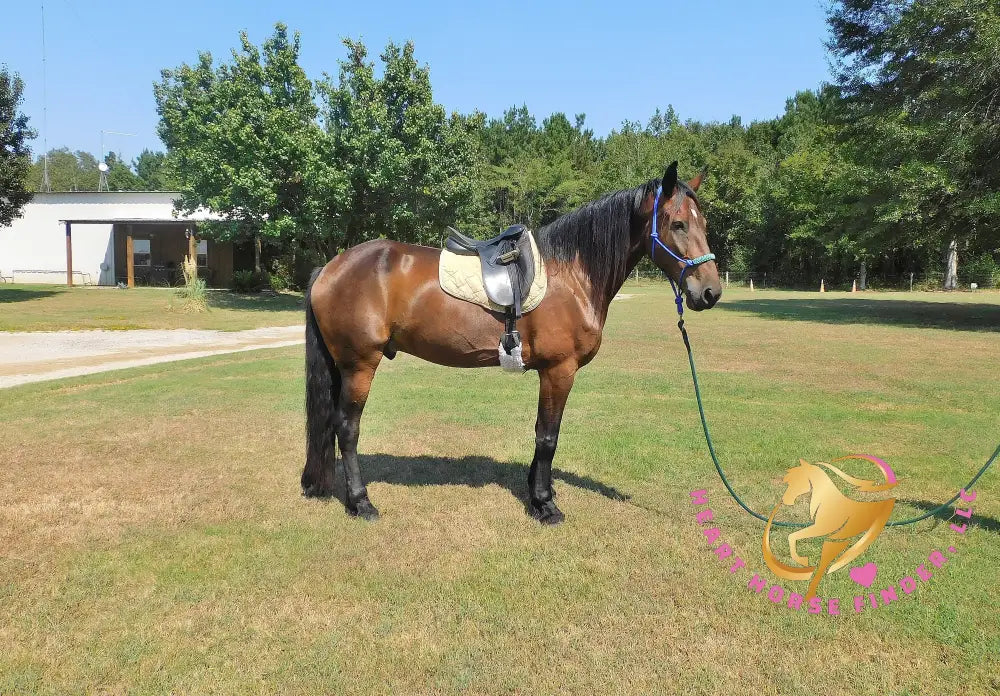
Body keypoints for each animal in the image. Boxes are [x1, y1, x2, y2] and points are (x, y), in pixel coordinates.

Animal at [301, 161, 722, 524]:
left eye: (703, 222)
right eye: (678, 223)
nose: (710, 292)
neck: (570, 274)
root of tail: (331, 267)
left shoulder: (550, 374)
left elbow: (542, 432)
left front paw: (538, 493)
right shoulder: (559, 370)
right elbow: (549, 436)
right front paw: (546, 505)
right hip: (359, 365)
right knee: (347, 429)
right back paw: (361, 503)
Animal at [762, 459, 897, 599]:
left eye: (795, 480)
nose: (785, 500)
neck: (829, 502)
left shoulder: (821, 528)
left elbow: (793, 536)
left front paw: (802, 560)